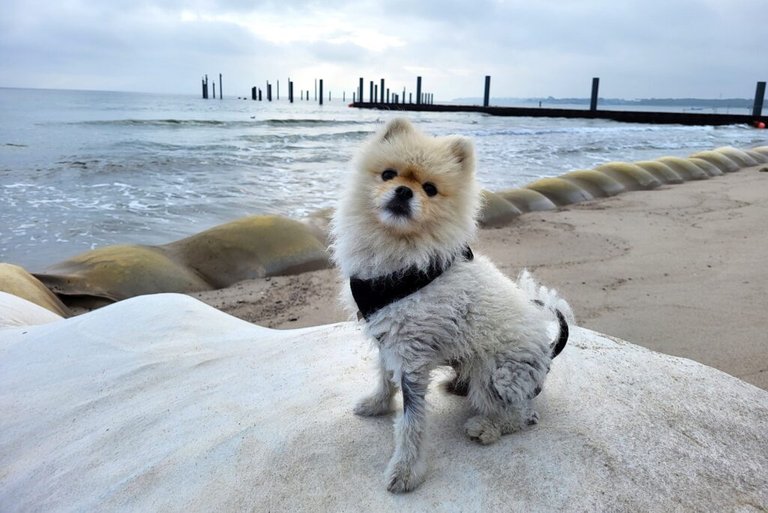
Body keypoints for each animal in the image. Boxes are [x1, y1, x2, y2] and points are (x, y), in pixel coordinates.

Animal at [328, 117, 572, 492]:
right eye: (388, 175)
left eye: (430, 189)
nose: (404, 191)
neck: (402, 255)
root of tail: (547, 347)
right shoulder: (388, 337)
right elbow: (384, 378)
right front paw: (377, 404)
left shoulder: (412, 358)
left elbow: (411, 422)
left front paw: (405, 471)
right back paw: (458, 386)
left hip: (497, 377)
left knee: (523, 414)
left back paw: (487, 427)